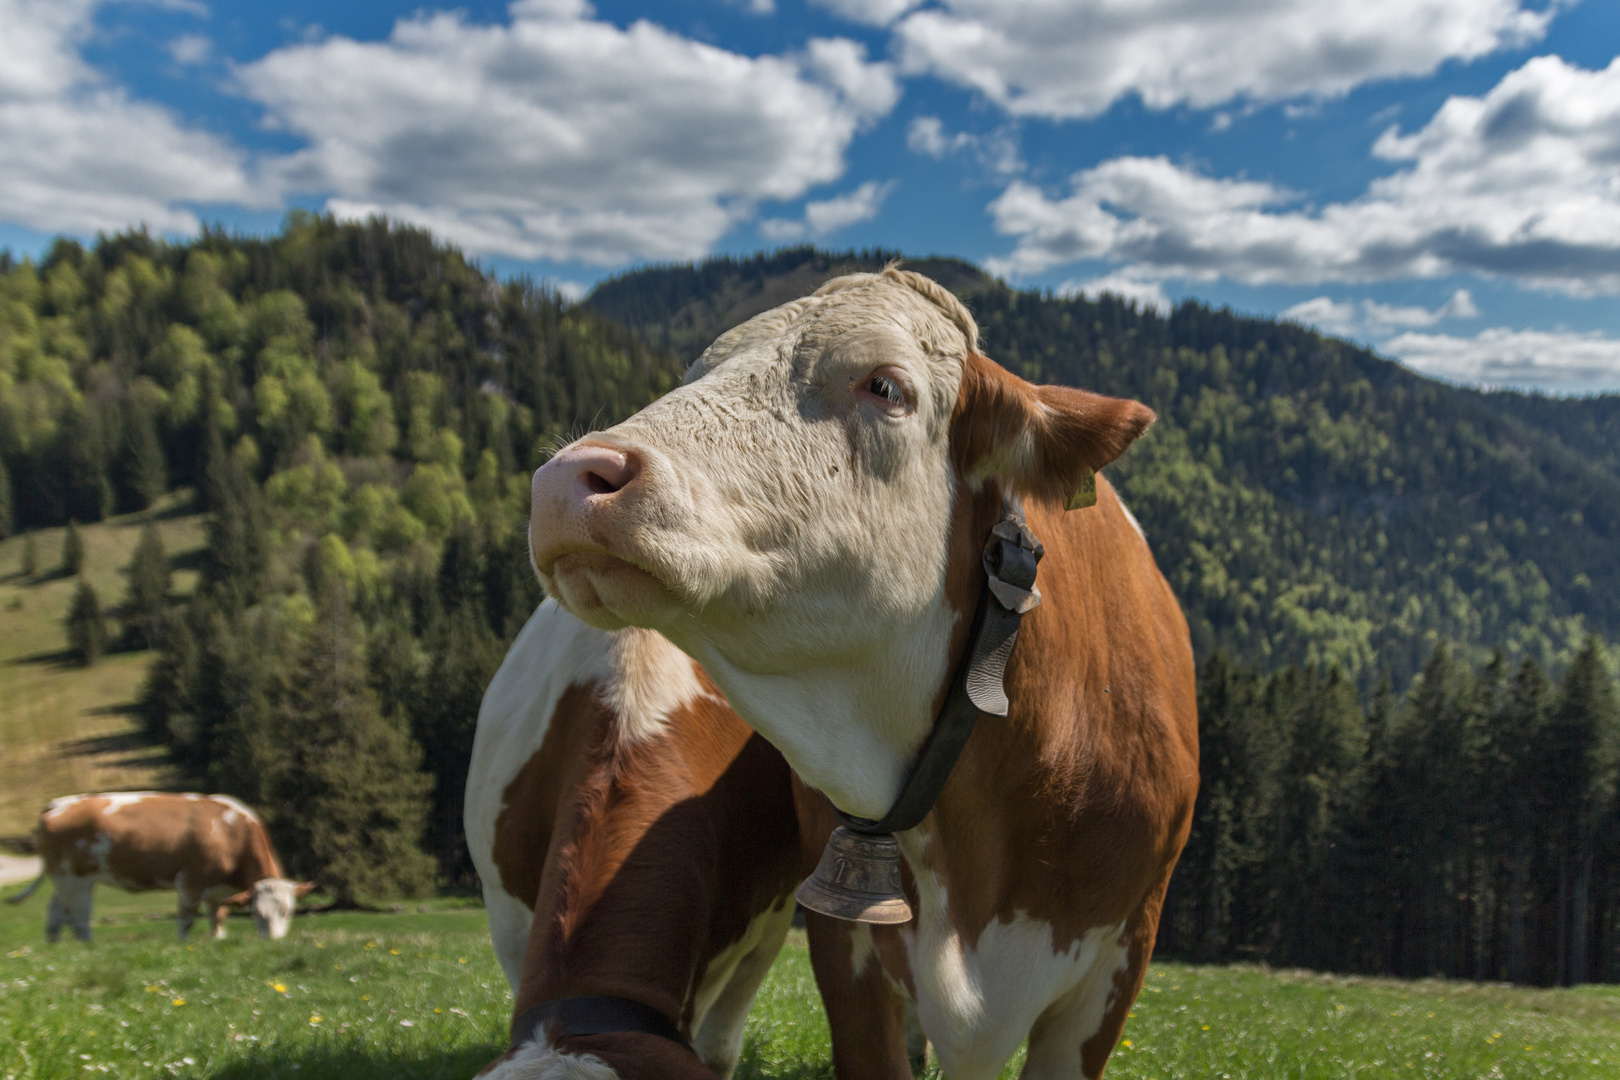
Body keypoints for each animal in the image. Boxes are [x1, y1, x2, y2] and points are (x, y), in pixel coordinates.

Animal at [5, 790, 312, 939]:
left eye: (288, 912)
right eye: (257, 913)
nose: (273, 942)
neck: (232, 832)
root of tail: (60, 803)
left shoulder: (218, 891)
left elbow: (217, 919)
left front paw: (218, 940)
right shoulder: (191, 881)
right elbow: (186, 920)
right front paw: (183, 946)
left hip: (66, 878)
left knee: (56, 909)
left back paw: (55, 944)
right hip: (75, 879)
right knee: (78, 918)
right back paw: (88, 947)